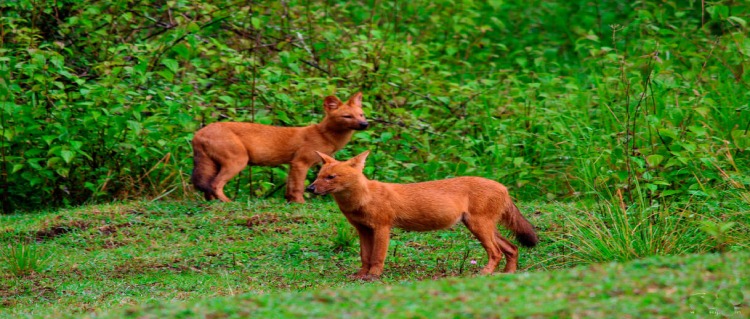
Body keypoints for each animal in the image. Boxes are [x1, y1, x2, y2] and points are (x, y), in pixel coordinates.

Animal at [192, 92, 368, 202]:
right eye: (347, 116)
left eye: (361, 115)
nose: (365, 124)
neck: (324, 136)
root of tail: (199, 133)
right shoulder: (300, 162)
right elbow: (298, 188)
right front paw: (301, 203)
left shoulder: (292, 164)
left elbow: (289, 188)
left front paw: (291, 203)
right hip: (238, 162)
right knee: (214, 185)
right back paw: (228, 202)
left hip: (214, 165)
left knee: (207, 187)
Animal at [306, 152, 540, 280]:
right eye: (318, 176)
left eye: (331, 177)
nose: (309, 188)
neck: (361, 200)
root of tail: (504, 188)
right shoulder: (363, 229)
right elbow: (364, 257)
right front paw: (361, 275)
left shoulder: (382, 227)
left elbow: (377, 256)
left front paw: (373, 276)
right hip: (482, 227)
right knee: (512, 248)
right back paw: (507, 275)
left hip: (479, 227)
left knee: (496, 252)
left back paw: (484, 274)